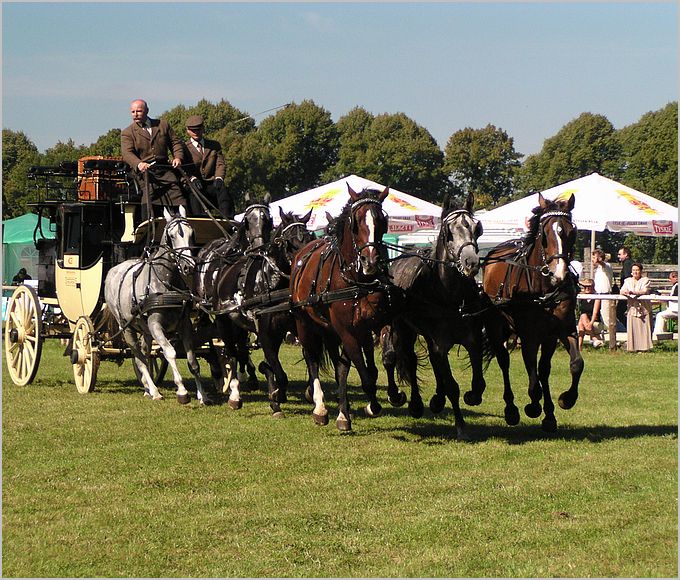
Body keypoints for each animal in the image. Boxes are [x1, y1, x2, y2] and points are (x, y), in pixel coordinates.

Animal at [103, 207, 212, 404]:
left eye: (192, 233)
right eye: (171, 235)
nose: (189, 267)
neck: (164, 282)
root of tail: (113, 271)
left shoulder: (185, 325)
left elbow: (192, 360)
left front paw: (203, 395)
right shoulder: (155, 325)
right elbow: (170, 353)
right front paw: (182, 392)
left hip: (145, 329)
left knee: (145, 355)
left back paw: (148, 388)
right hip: (126, 327)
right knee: (138, 357)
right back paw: (154, 391)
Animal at [290, 185, 396, 430]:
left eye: (382, 220)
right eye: (356, 221)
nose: (370, 261)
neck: (356, 280)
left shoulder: (374, 324)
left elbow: (386, 358)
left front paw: (395, 394)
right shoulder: (347, 332)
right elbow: (365, 376)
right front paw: (372, 405)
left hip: (331, 331)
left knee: (340, 366)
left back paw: (342, 413)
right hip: (304, 324)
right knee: (312, 359)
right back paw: (320, 407)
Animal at [382, 193, 488, 438]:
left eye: (477, 228)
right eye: (448, 232)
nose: (471, 262)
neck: (450, 296)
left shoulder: (473, 340)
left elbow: (478, 382)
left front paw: (471, 396)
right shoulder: (439, 342)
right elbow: (452, 385)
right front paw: (461, 426)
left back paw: (436, 400)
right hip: (402, 329)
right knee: (404, 359)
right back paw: (413, 403)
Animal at [480, 193, 580, 432]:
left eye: (571, 231)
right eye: (544, 234)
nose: (559, 273)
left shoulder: (561, 331)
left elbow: (572, 365)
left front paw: (562, 403)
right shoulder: (529, 337)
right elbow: (533, 375)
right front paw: (534, 406)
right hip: (495, 327)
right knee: (504, 360)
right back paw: (511, 409)